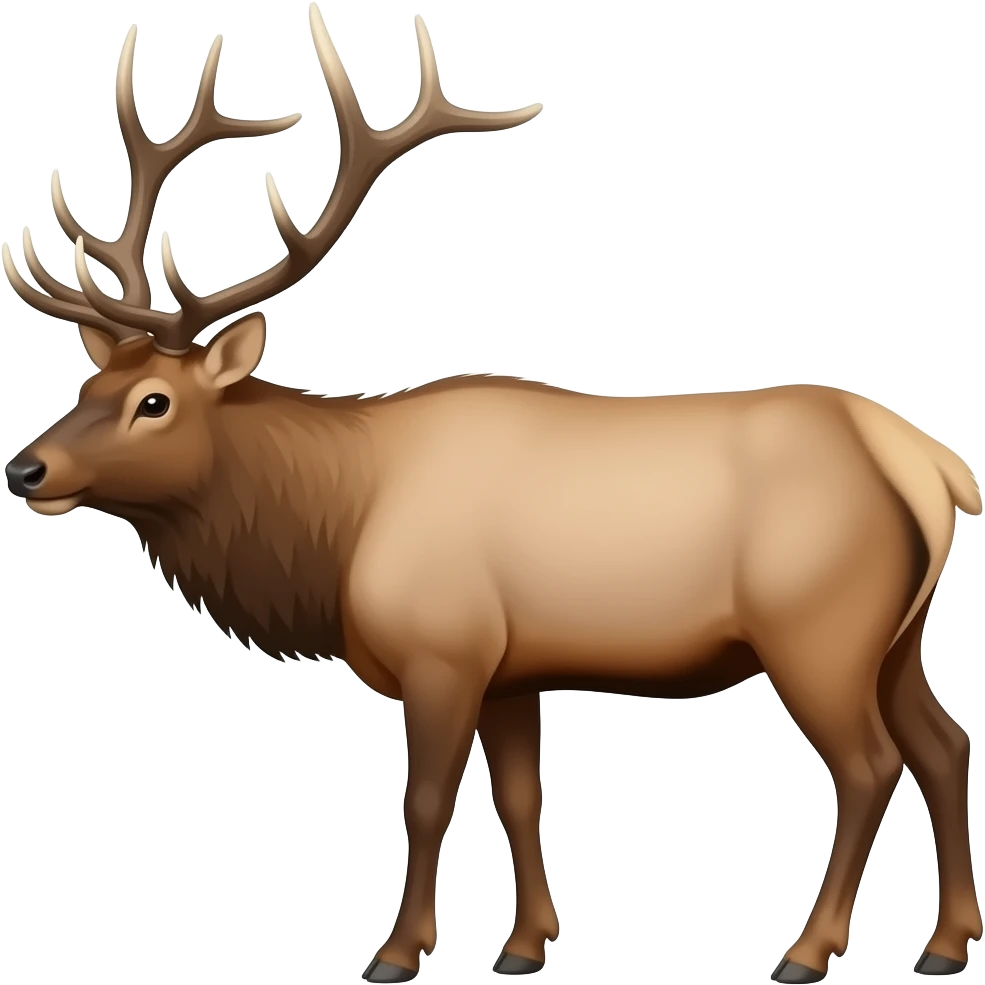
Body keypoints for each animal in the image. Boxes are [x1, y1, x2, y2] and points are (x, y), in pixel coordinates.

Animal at [2, 6, 981, 984]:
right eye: (86, 387)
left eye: (153, 402)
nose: (25, 469)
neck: (336, 526)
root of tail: (931, 465)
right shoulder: (514, 670)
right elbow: (520, 796)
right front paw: (523, 943)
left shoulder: (443, 651)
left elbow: (426, 799)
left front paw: (398, 950)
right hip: (896, 636)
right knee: (943, 741)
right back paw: (944, 941)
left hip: (814, 629)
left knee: (867, 764)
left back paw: (808, 949)